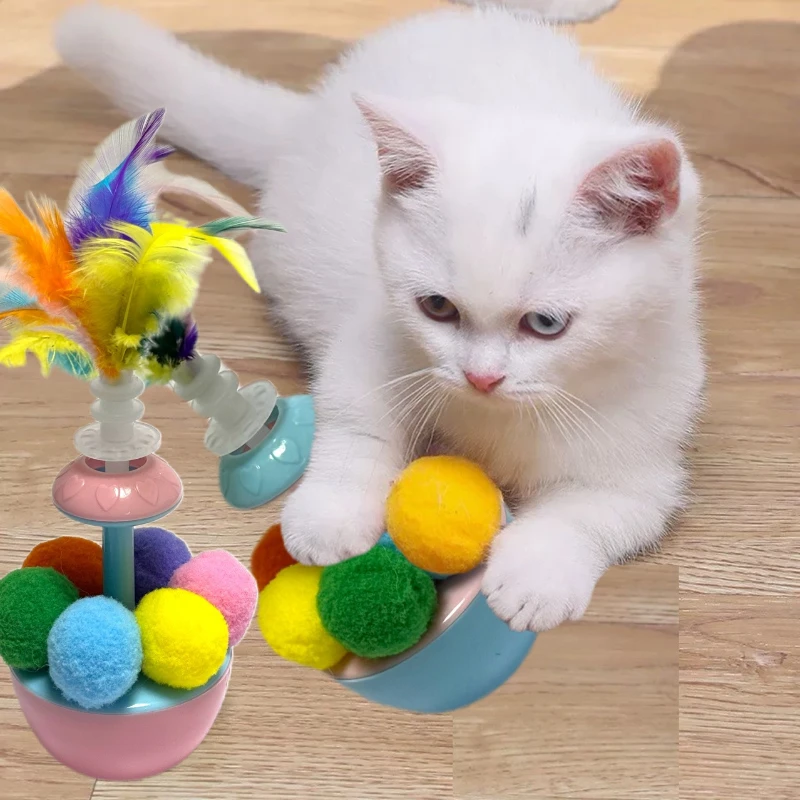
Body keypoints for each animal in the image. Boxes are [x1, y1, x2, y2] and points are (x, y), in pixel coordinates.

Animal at [56, 4, 704, 632]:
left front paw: (533, 579)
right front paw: (330, 515)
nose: (481, 378)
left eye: (545, 325)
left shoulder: (643, 449)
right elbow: (357, 426)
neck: (494, 419)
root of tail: (312, 111)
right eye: (437, 308)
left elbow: (590, 514)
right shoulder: (371, 343)